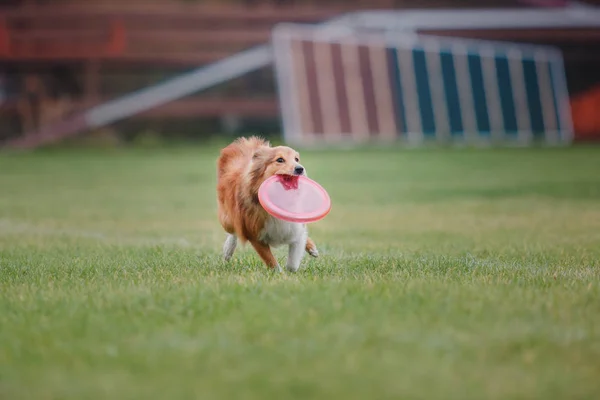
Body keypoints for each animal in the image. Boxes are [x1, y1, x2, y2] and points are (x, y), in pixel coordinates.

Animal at [216, 137, 318, 272]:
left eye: (296, 159)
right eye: (280, 160)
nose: (300, 169)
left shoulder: (294, 226)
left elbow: (294, 254)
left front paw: (291, 269)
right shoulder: (255, 235)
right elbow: (270, 260)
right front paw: (280, 273)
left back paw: (313, 249)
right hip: (228, 219)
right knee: (233, 231)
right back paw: (228, 251)